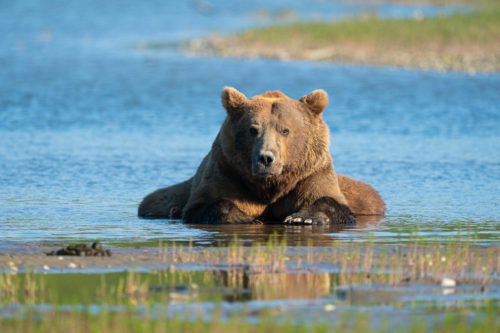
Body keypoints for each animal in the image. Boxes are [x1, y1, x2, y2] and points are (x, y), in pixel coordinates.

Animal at [139, 87, 384, 224]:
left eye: (285, 130)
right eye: (253, 129)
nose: (266, 158)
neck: (270, 187)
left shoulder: (310, 174)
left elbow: (330, 200)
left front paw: (303, 217)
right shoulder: (226, 171)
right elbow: (204, 204)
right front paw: (243, 218)